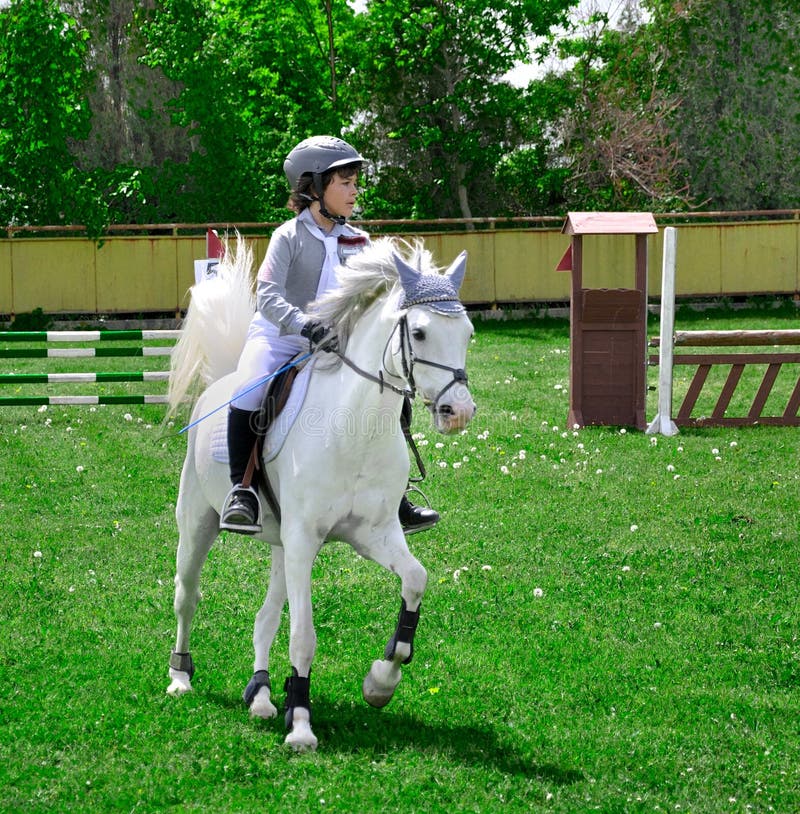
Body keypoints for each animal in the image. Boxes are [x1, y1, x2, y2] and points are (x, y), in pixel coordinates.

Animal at [165, 236, 476, 751]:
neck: (356, 427)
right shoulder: (305, 541)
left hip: (280, 545)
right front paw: (302, 725)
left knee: (265, 616)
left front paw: (381, 681)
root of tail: (221, 385)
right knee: (187, 596)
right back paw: (180, 678)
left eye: (468, 333)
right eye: (419, 333)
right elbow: (304, 636)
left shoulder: (373, 535)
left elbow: (415, 580)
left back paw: (262, 695)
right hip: (198, 524)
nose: (459, 412)